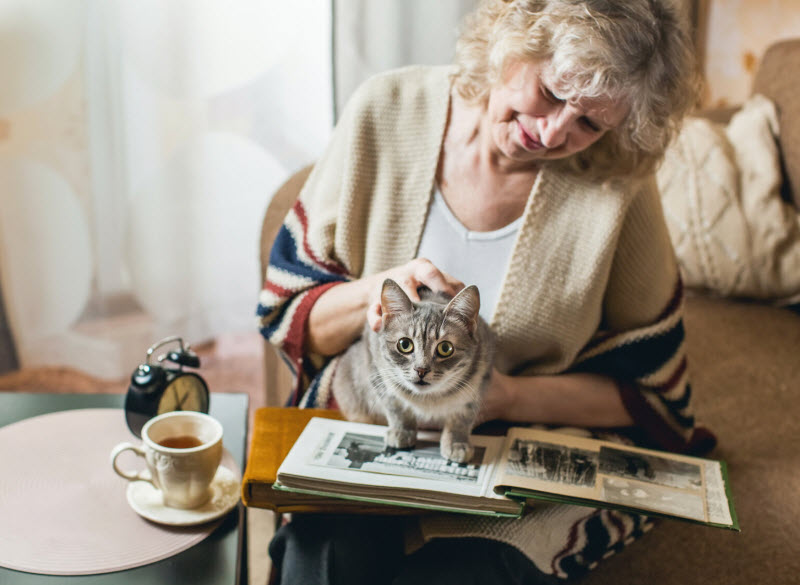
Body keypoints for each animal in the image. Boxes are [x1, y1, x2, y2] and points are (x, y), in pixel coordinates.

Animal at [328, 276, 490, 464]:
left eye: (445, 348)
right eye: (404, 344)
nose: (421, 369)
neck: (427, 399)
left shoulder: (477, 385)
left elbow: (461, 418)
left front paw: (457, 443)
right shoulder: (379, 374)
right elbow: (396, 409)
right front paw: (401, 431)